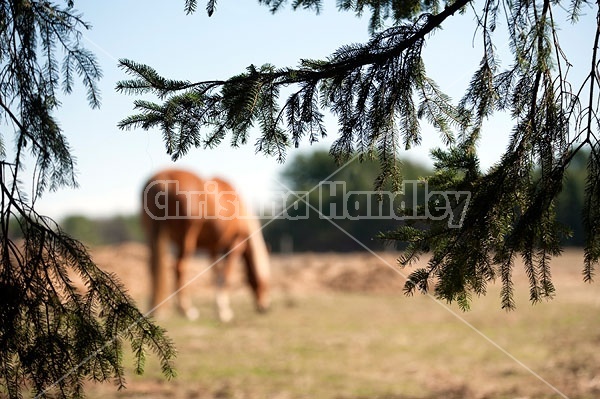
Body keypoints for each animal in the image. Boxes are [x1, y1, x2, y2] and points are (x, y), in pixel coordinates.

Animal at [141, 168, 270, 322]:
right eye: (264, 284)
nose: (264, 307)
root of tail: (163, 179)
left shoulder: (212, 247)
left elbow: (215, 274)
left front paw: (219, 308)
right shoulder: (235, 245)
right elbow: (224, 276)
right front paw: (224, 312)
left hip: (151, 234)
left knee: (152, 267)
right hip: (187, 239)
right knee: (179, 267)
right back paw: (186, 310)